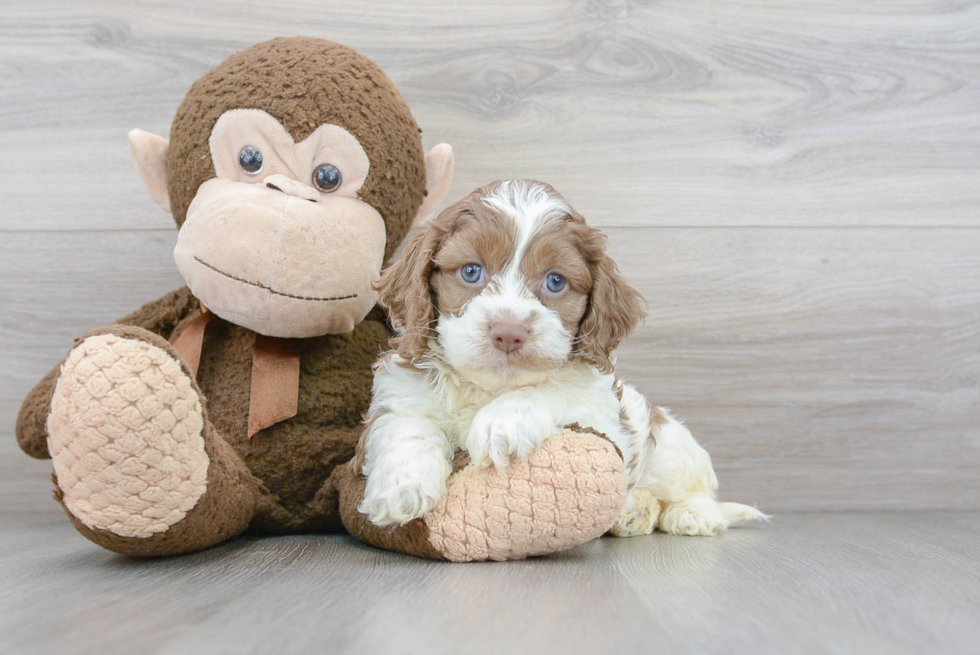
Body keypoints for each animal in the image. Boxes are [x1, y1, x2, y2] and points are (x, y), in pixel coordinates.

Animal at [356, 181, 768, 540]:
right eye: (471, 271)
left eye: (555, 281)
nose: (508, 332)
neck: (490, 388)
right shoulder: (401, 390)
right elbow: (406, 425)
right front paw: (401, 488)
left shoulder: (599, 412)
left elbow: (554, 385)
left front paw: (504, 421)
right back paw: (634, 512)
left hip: (668, 445)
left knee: (693, 487)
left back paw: (691, 514)